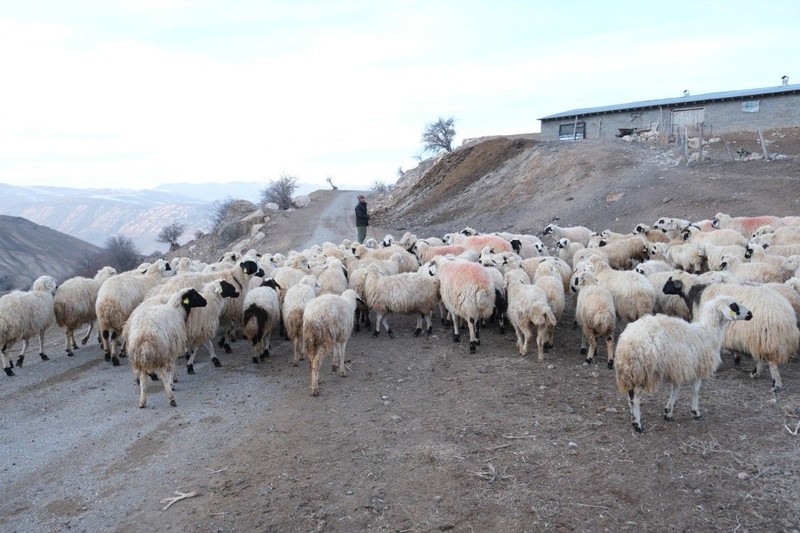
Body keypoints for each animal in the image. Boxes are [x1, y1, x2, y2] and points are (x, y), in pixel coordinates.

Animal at [616, 296, 752, 432]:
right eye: (733, 306)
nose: (750, 314)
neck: (709, 332)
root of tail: (628, 343)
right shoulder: (698, 368)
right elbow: (695, 390)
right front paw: (695, 412)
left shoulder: (678, 367)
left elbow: (675, 389)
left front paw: (668, 411)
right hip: (645, 371)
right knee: (635, 397)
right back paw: (637, 423)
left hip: (633, 372)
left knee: (631, 395)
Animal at [664, 272, 800, 388]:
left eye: (670, 282)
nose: (663, 290)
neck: (694, 293)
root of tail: (787, 318)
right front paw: (736, 359)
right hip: (761, 338)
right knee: (762, 358)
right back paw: (755, 373)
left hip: (766, 336)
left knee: (771, 362)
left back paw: (775, 383)